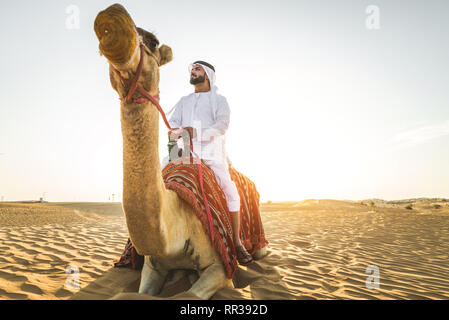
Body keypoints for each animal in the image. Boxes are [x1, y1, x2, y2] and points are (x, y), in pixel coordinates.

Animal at [93, 3, 264, 298]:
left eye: (153, 41)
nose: (113, 17)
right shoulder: (153, 266)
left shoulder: (220, 268)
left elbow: (190, 293)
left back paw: (246, 252)